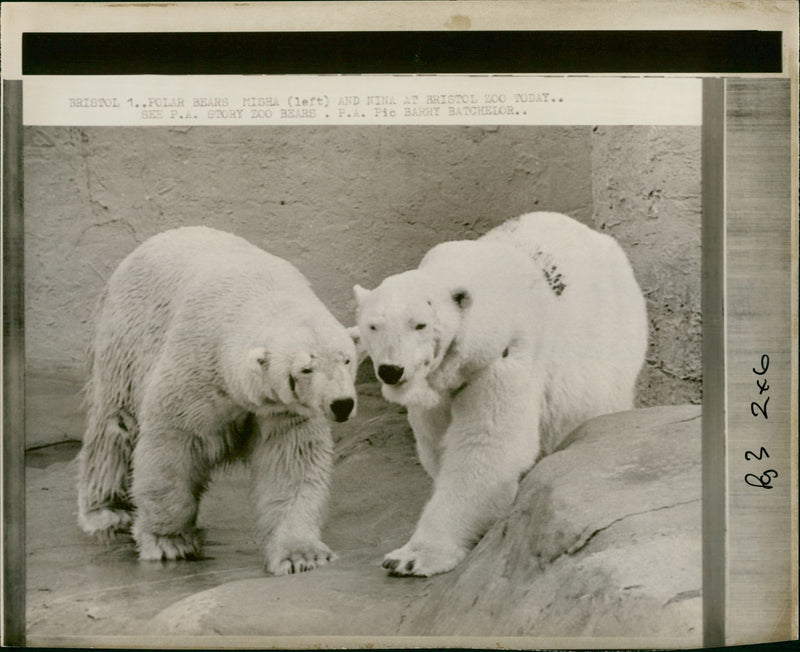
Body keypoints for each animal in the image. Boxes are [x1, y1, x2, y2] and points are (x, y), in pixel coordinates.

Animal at [76, 227, 358, 572]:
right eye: (306, 368)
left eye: (347, 359)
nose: (341, 404)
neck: (259, 294)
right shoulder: (196, 365)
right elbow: (171, 446)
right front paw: (169, 542)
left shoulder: (283, 409)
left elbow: (291, 460)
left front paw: (302, 554)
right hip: (126, 341)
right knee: (115, 427)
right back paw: (107, 510)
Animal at [354, 210, 648, 576]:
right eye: (373, 326)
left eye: (419, 324)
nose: (391, 370)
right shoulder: (434, 389)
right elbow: (436, 440)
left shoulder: (505, 357)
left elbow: (486, 446)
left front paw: (411, 557)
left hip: (609, 343)